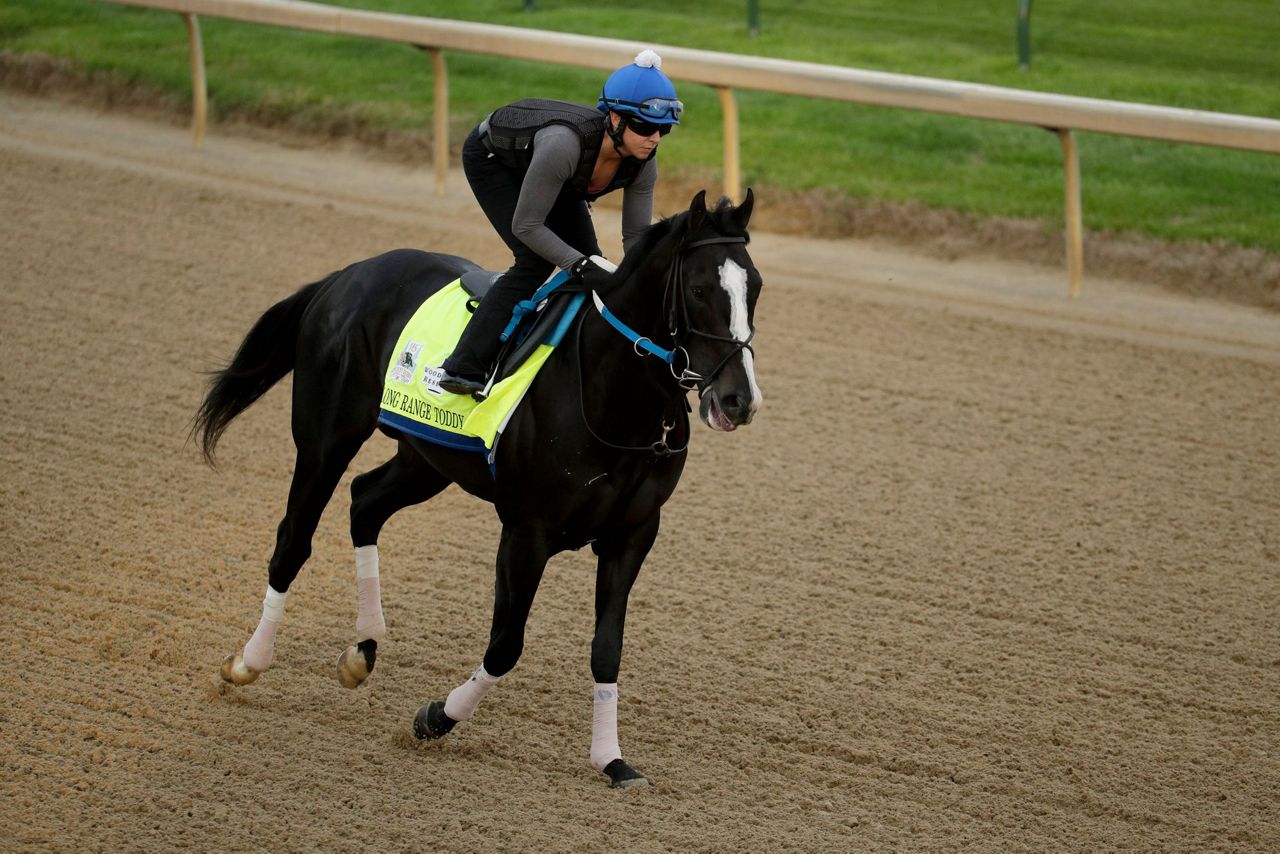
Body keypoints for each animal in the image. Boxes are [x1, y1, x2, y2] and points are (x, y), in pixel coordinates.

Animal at [194, 188, 762, 788]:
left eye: (755, 287)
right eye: (698, 290)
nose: (738, 400)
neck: (612, 399)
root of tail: (348, 274)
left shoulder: (632, 535)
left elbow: (607, 648)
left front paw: (611, 759)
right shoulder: (526, 532)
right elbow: (506, 644)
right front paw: (435, 718)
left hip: (425, 459)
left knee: (365, 501)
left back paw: (363, 649)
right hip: (326, 438)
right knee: (294, 539)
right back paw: (248, 662)